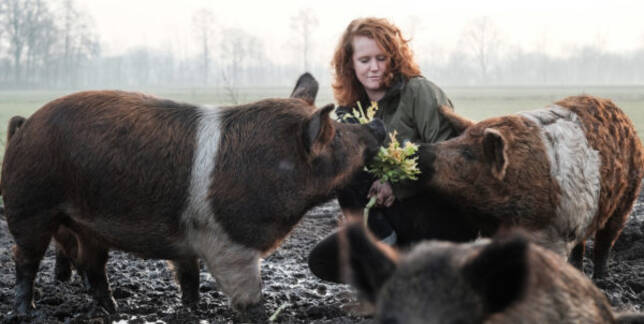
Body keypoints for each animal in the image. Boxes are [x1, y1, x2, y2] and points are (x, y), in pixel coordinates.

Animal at [418, 94, 644, 278]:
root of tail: (619, 111)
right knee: (581, 244)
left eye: (468, 154)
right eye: (456, 138)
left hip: (626, 199)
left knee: (605, 240)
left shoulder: (558, 233)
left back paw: (601, 279)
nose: (420, 150)